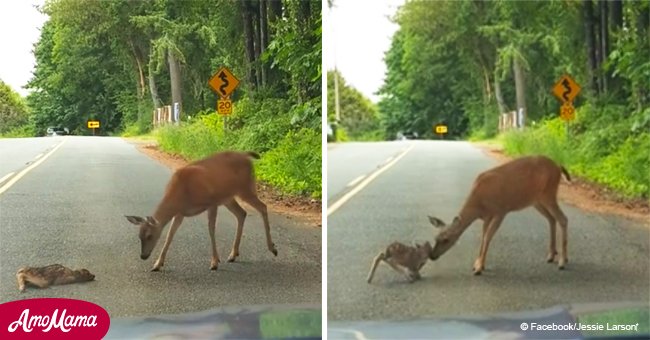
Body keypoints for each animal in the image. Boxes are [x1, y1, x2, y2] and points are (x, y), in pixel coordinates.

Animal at [124, 151, 276, 270]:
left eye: (149, 236)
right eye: (139, 236)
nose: (143, 256)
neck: (181, 193)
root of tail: (246, 155)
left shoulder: (211, 202)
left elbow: (211, 229)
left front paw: (214, 262)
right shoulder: (180, 213)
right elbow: (170, 235)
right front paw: (157, 264)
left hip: (245, 187)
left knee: (263, 207)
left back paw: (272, 248)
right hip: (228, 197)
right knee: (242, 213)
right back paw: (233, 254)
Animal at [426, 155, 568, 274]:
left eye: (446, 239)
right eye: (435, 238)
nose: (432, 255)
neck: (479, 204)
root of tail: (558, 166)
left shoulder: (500, 211)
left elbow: (488, 236)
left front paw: (479, 268)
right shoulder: (486, 216)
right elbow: (483, 236)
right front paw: (478, 264)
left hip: (548, 194)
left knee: (563, 219)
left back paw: (562, 261)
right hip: (536, 201)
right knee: (552, 219)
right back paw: (551, 255)